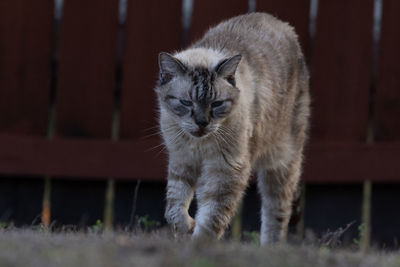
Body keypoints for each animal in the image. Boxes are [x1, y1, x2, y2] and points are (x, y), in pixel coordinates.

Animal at [155, 13, 310, 247]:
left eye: (217, 104)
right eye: (186, 103)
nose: (202, 123)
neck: (199, 144)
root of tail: (281, 24)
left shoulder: (225, 170)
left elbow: (211, 218)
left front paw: (198, 246)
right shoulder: (182, 161)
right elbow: (174, 208)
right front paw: (187, 227)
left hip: (280, 163)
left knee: (276, 213)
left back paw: (270, 250)